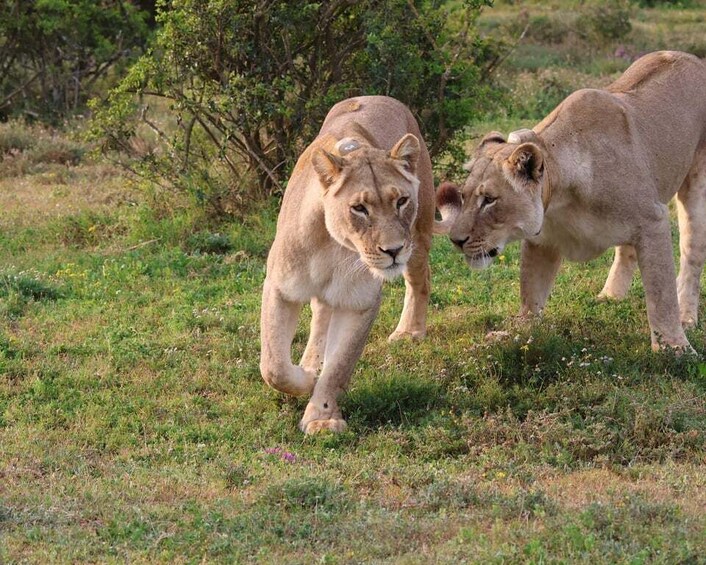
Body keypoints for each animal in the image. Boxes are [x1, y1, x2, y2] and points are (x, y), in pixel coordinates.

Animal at [260, 96, 436, 433]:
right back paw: (310, 362)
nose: (393, 250)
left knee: (420, 281)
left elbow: (339, 366)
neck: (333, 245)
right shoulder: (280, 289)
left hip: (419, 238)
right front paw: (306, 377)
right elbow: (274, 366)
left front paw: (322, 418)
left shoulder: (359, 302)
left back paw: (409, 332)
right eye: (359, 208)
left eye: (401, 201)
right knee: (319, 316)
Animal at [437, 51, 706, 352]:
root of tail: (692, 58)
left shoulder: (653, 220)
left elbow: (661, 294)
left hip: (695, 187)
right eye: (464, 196)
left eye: (489, 200)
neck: (560, 197)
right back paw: (610, 296)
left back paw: (686, 317)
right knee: (627, 250)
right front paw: (519, 331)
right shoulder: (542, 240)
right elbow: (531, 290)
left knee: (691, 255)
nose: (455, 240)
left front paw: (674, 348)